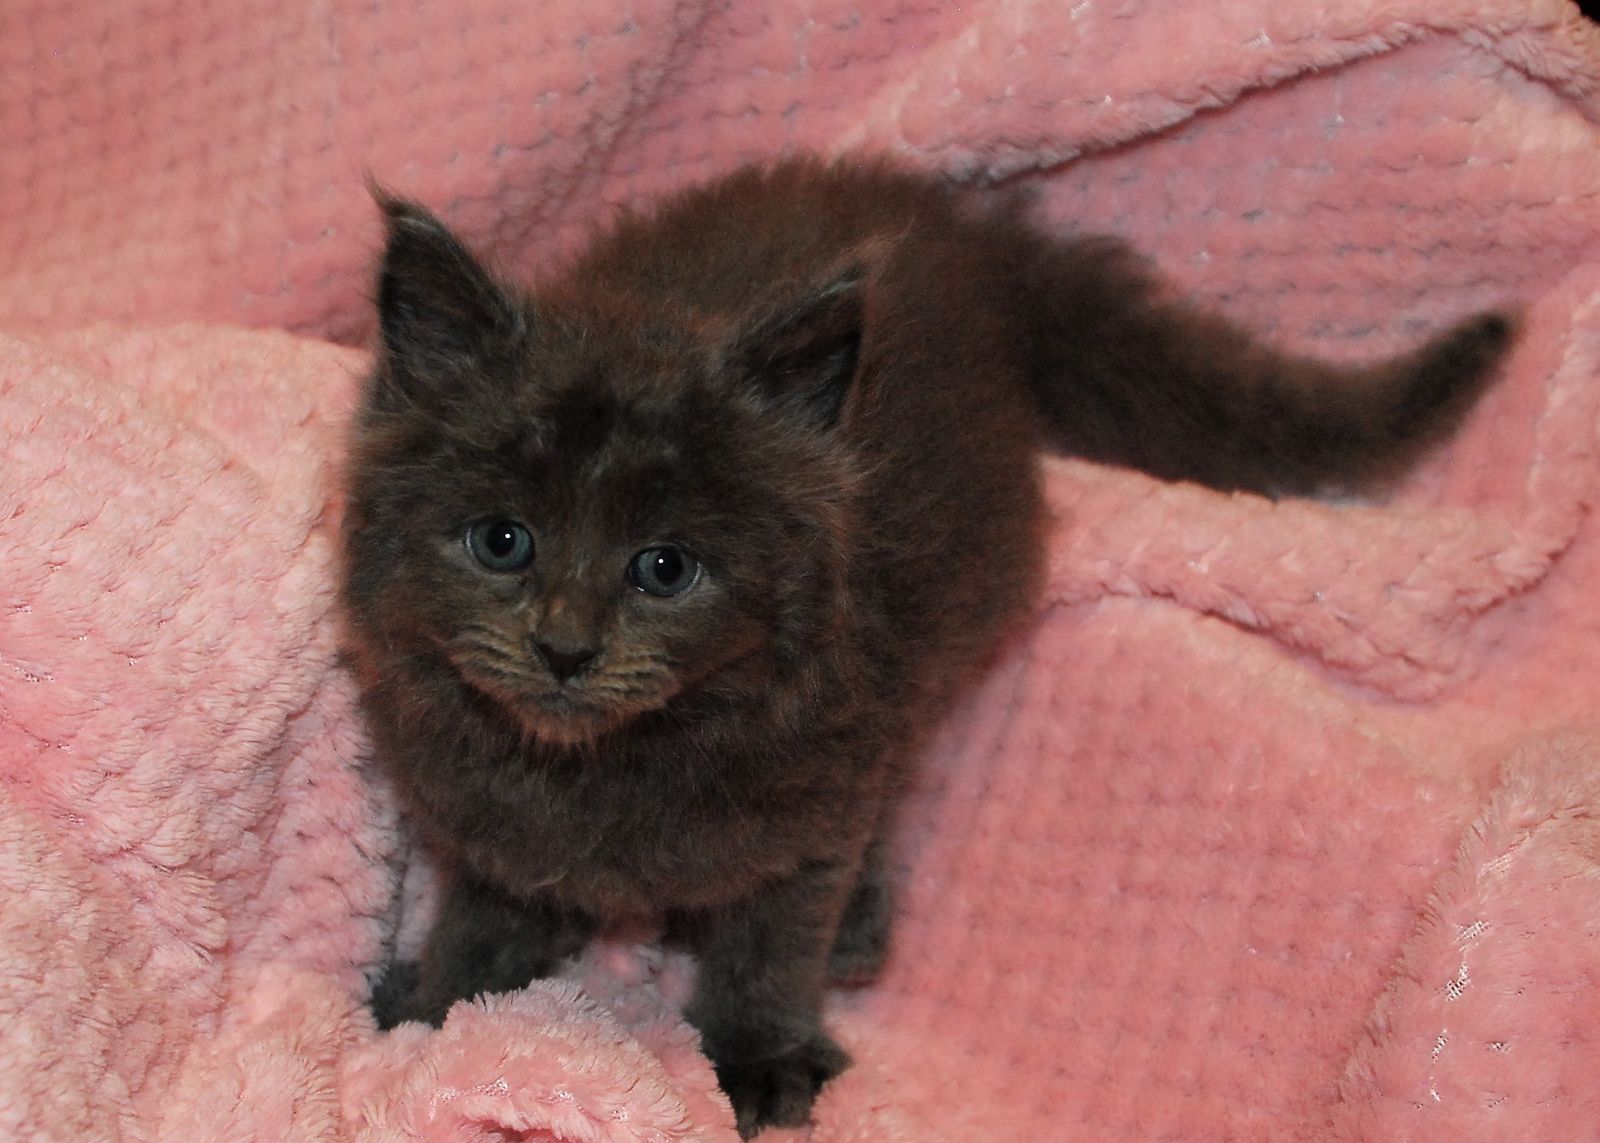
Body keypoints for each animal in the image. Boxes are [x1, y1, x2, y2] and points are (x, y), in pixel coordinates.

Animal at [340, 155, 1513, 1136]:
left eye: (664, 568)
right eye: (503, 541)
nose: (565, 648)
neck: (611, 760)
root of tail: (955, 223)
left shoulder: (820, 790)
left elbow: (773, 943)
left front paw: (759, 1056)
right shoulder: (488, 823)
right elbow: (484, 925)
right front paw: (439, 1006)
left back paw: (861, 926)